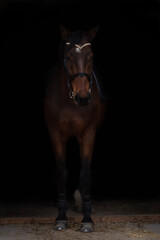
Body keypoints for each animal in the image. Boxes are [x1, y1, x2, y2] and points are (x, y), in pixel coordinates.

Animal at [43, 24, 106, 232]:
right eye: (68, 56)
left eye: (91, 56)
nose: (83, 97)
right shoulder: (56, 134)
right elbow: (62, 172)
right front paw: (61, 217)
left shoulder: (88, 134)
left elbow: (85, 173)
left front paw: (87, 219)